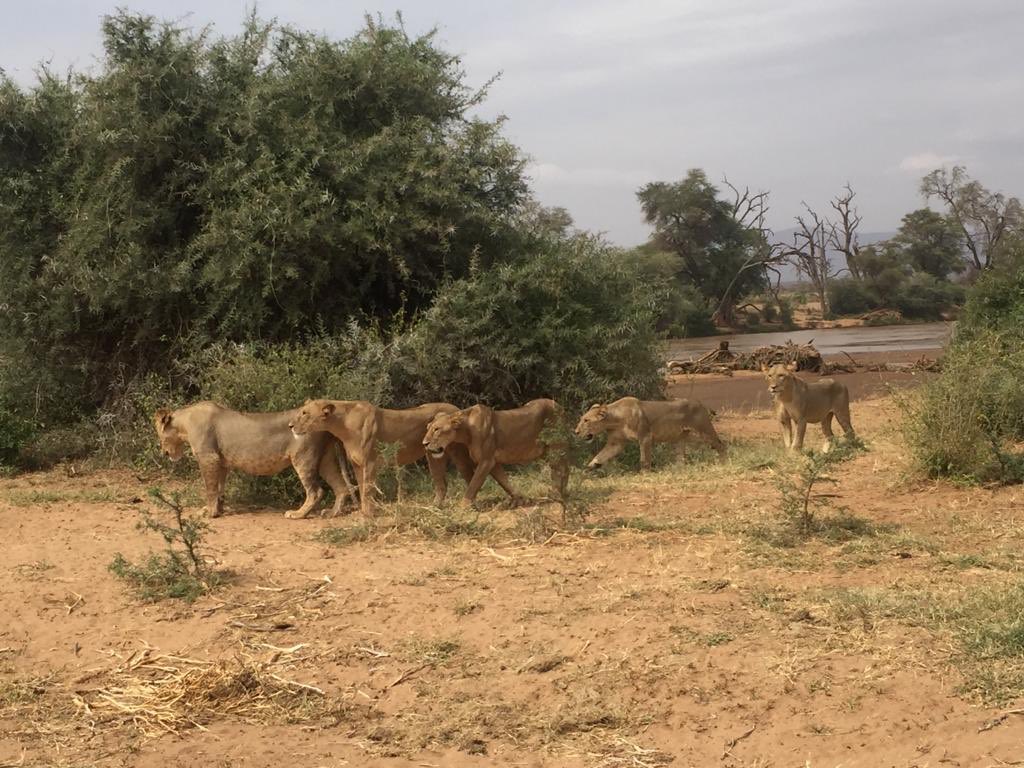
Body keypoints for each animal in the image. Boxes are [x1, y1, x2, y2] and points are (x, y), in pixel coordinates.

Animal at [153, 402, 355, 519]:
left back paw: (297, 514)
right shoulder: (221, 461)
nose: (163, 452)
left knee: (316, 491)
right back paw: (332, 513)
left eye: (159, 434)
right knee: (341, 487)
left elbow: (210, 488)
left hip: (303, 458)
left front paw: (209, 513)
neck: (185, 425)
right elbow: (219, 488)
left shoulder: (208, 457)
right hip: (325, 460)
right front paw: (217, 510)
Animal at [288, 399, 475, 516]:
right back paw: (432, 508)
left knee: (468, 475)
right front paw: (365, 512)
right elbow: (362, 487)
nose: (290, 425)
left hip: (458, 453)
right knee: (442, 484)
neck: (342, 424)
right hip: (434, 455)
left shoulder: (371, 461)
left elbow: (367, 489)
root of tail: (457, 408)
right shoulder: (357, 464)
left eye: (304, 413)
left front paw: (368, 514)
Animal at [421, 398, 568, 506]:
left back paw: (557, 494)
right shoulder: (493, 462)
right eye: (428, 428)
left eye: (437, 429)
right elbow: (504, 481)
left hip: (555, 447)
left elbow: (473, 484)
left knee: (561, 469)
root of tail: (559, 406)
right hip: (547, 451)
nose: (424, 443)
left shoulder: (486, 461)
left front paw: (463, 506)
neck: (466, 430)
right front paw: (520, 500)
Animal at [575, 397, 725, 471]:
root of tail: (700, 403)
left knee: (720, 444)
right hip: (679, 438)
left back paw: (722, 462)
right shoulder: (616, 443)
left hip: (704, 431)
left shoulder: (645, 436)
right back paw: (678, 469)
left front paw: (644, 474)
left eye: (586, 420)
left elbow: (644, 459)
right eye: (581, 419)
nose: (576, 432)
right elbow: (601, 455)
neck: (615, 420)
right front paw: (590, 467)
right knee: (681, 457)